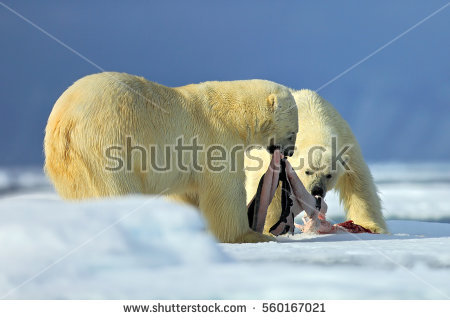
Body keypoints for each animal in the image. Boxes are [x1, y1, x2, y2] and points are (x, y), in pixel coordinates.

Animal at [44, 72, 298, 242]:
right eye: (293, 132)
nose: (290, 151)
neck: (234, 114)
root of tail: (65, 120)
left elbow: (188, 193)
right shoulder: (216, 138)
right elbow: (225, 191)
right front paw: (251, 235)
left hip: (68, 161)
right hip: (110, 140)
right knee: (116, 187)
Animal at [244, 89, 388, 234]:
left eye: (329, 175)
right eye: (307, 171)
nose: (317, 190)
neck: (314, 119)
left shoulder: (347, 143)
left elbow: (358, 183)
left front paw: (371, 226)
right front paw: (267, 228)